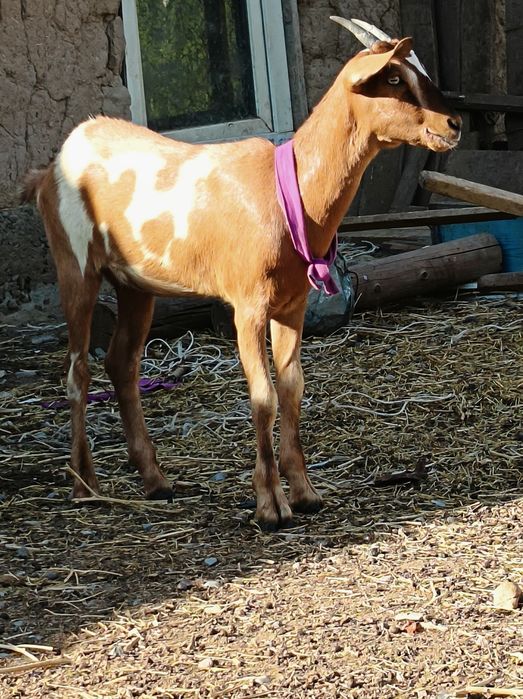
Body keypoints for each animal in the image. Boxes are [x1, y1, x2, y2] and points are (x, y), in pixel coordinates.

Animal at [23, 17, 461, 529]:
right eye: (393, 78)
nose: (453, 124)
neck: (290, 191)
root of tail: (51, 166)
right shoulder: (247, 305)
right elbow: (262, 396)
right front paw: (270, 505)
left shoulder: (291, 304)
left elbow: (292, 388)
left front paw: (306, 493)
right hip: (75, 264)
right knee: (78, 371)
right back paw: (84, 486)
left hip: (135, 284)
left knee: (122, 363)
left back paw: (156, 481)